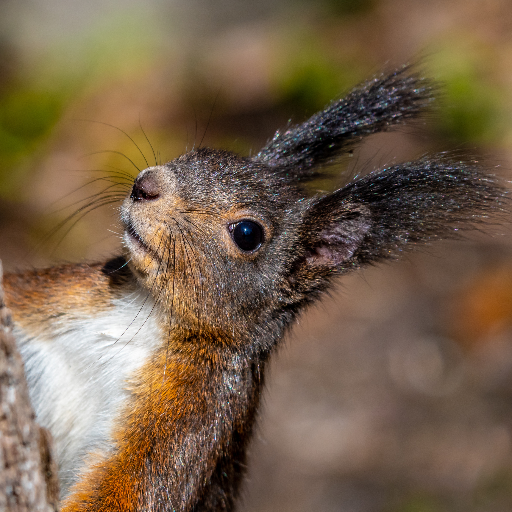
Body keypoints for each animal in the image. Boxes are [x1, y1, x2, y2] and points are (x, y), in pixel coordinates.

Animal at [3, 66, 508, 510]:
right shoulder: (72, 293)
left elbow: (128, 493)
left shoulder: (196, 414)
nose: (144, 184)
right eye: (197, 154)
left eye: (247, 234)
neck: (148, 311)